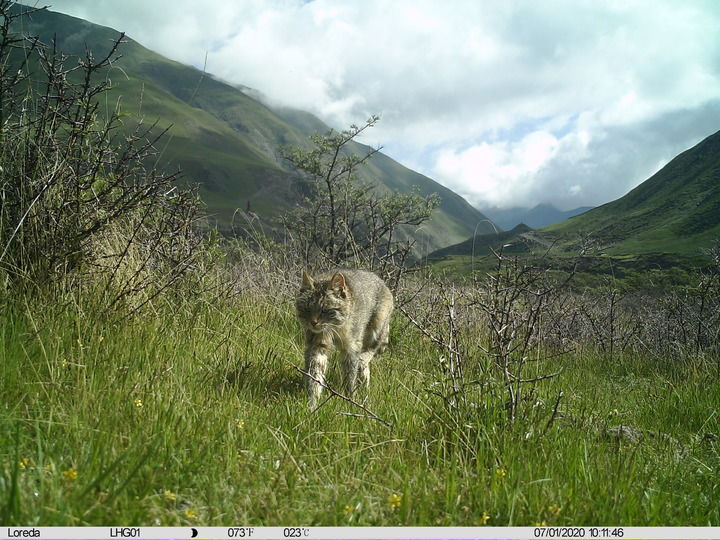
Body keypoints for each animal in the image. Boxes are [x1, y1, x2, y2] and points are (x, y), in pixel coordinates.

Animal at [296, 270, 394, 410]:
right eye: (307, 309)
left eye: (325, 310)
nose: (313, 322)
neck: (335, 328)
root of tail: (383, 283)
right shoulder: (317, 345)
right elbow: (315, 373)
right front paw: (312, 403)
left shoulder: (352, 347)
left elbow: (349, 375)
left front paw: (349, 400)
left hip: (378, 326)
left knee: (372, 349)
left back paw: (363, 361)